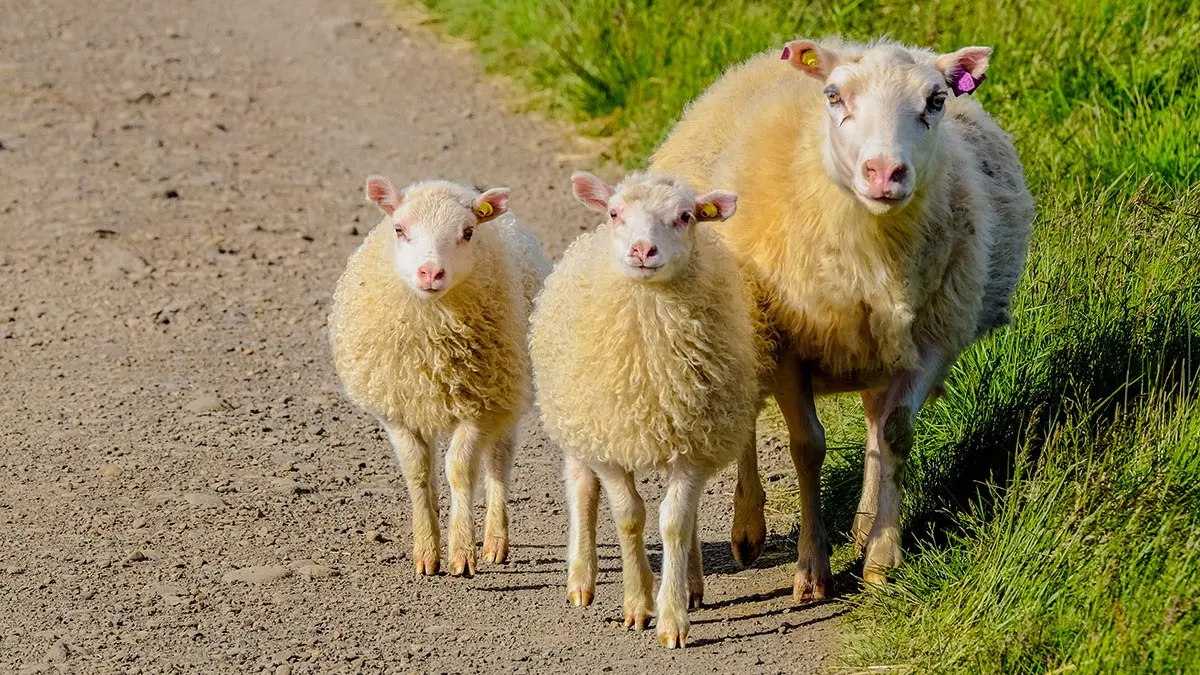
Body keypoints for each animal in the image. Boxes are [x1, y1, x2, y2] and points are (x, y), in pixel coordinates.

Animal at [329, 175, 550, 577]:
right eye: (399, 229)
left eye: (467, 232)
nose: (430, 273)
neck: (433, 340)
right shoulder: (398, 411)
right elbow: (418, 474)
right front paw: (426, 552)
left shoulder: (480, 406)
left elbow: (460, 471)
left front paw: (461, 552)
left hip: (508, 394)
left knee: (498, 463)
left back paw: (495, 541)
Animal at [530, 170, 758, 648]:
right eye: (616, 212)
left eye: (686, 216)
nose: (642, 250)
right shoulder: (610, 445)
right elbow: (630, 517)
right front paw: (637, 603)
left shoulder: (694, 445)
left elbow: (675, 522)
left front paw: (672, 618)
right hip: (577, 422)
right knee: (581, 487)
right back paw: (581, 579)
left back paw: (692, 585)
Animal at [651, 38, 1034, 598]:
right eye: (834, 96)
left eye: (937, 100)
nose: (885, 172)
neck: (873, 248)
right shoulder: (785, 342)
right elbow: (807, 447)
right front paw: (812, 569)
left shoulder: (931, 343)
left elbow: (895, 434)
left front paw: (881, 559)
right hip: (738, 329)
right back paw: (747, 529)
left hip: (882, 346)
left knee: (874, 420)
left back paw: (864, 521)